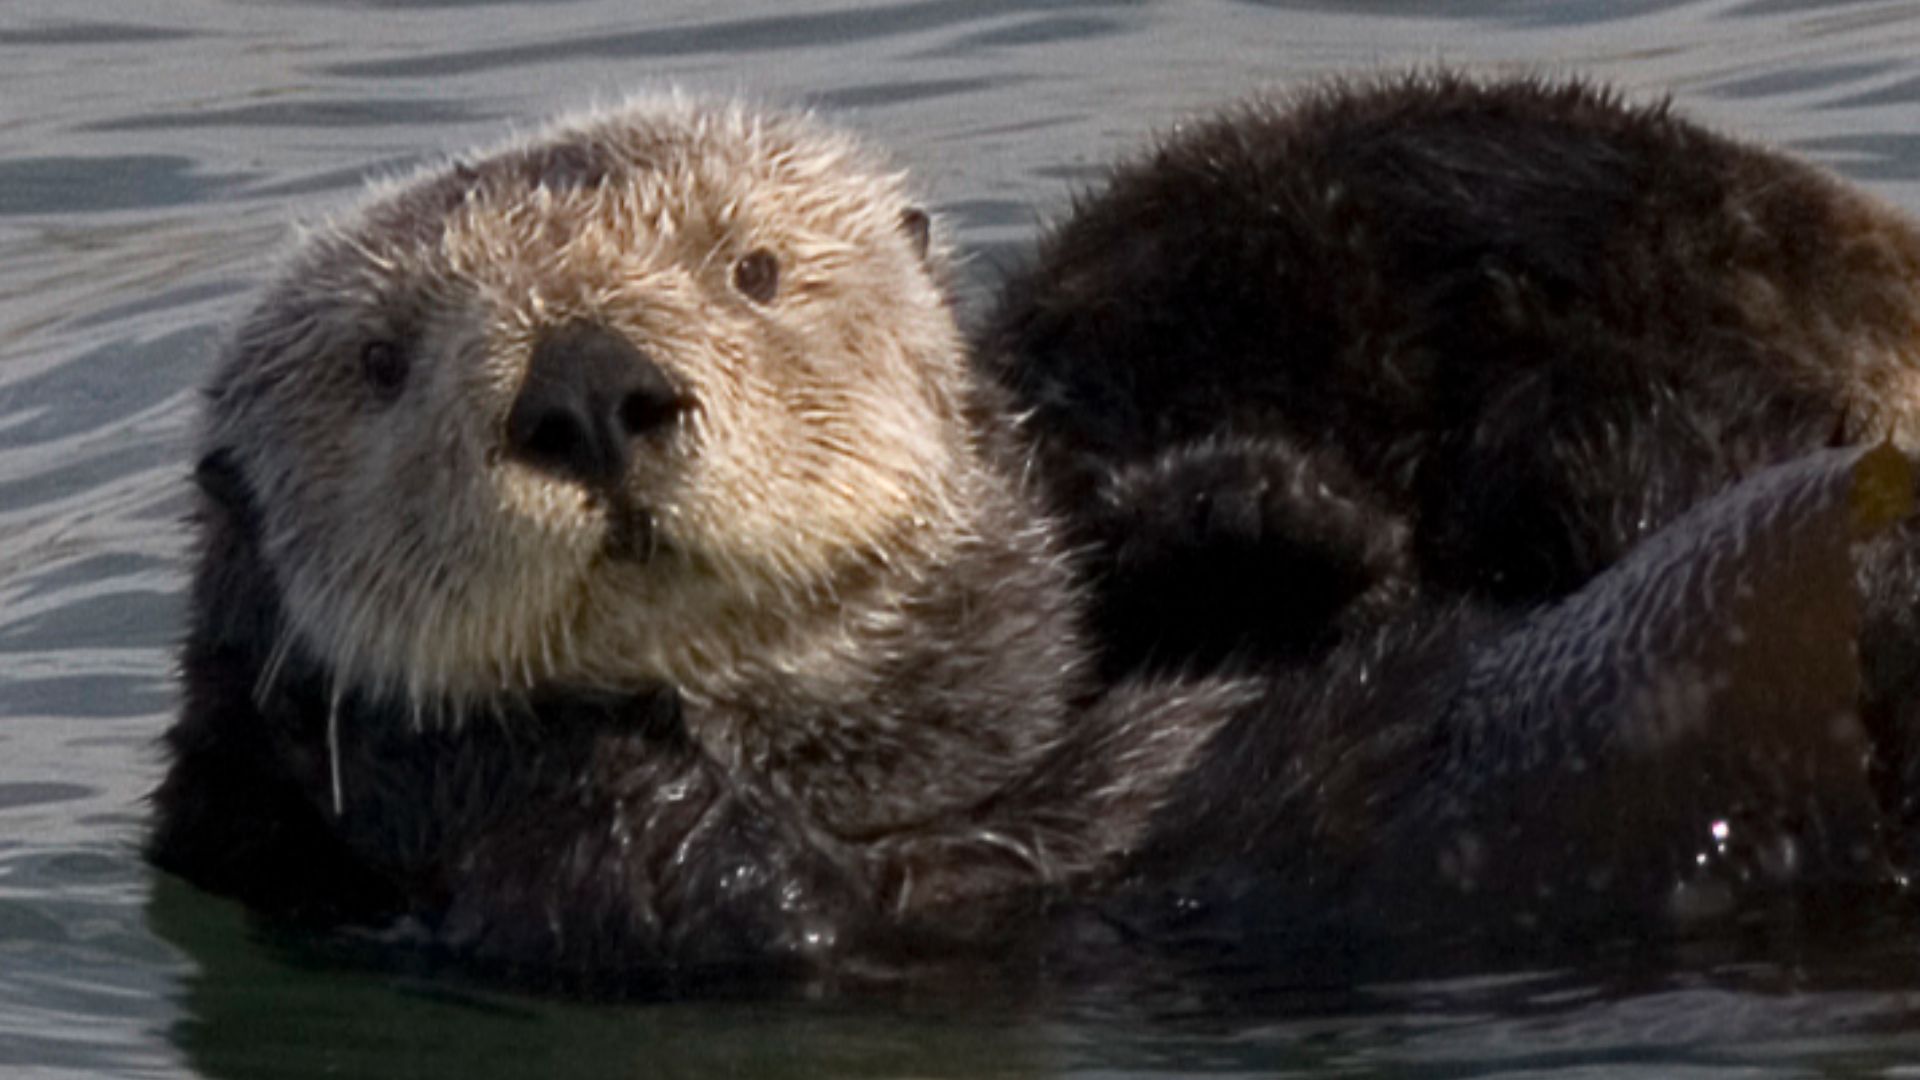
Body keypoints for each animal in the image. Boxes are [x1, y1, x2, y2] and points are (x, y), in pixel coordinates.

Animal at [150, 87, 1920, 991]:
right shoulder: (555, 890)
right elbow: (711, 880)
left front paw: (1261, 513)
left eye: (754, 272)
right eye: (383, 362)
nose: (588, 388)